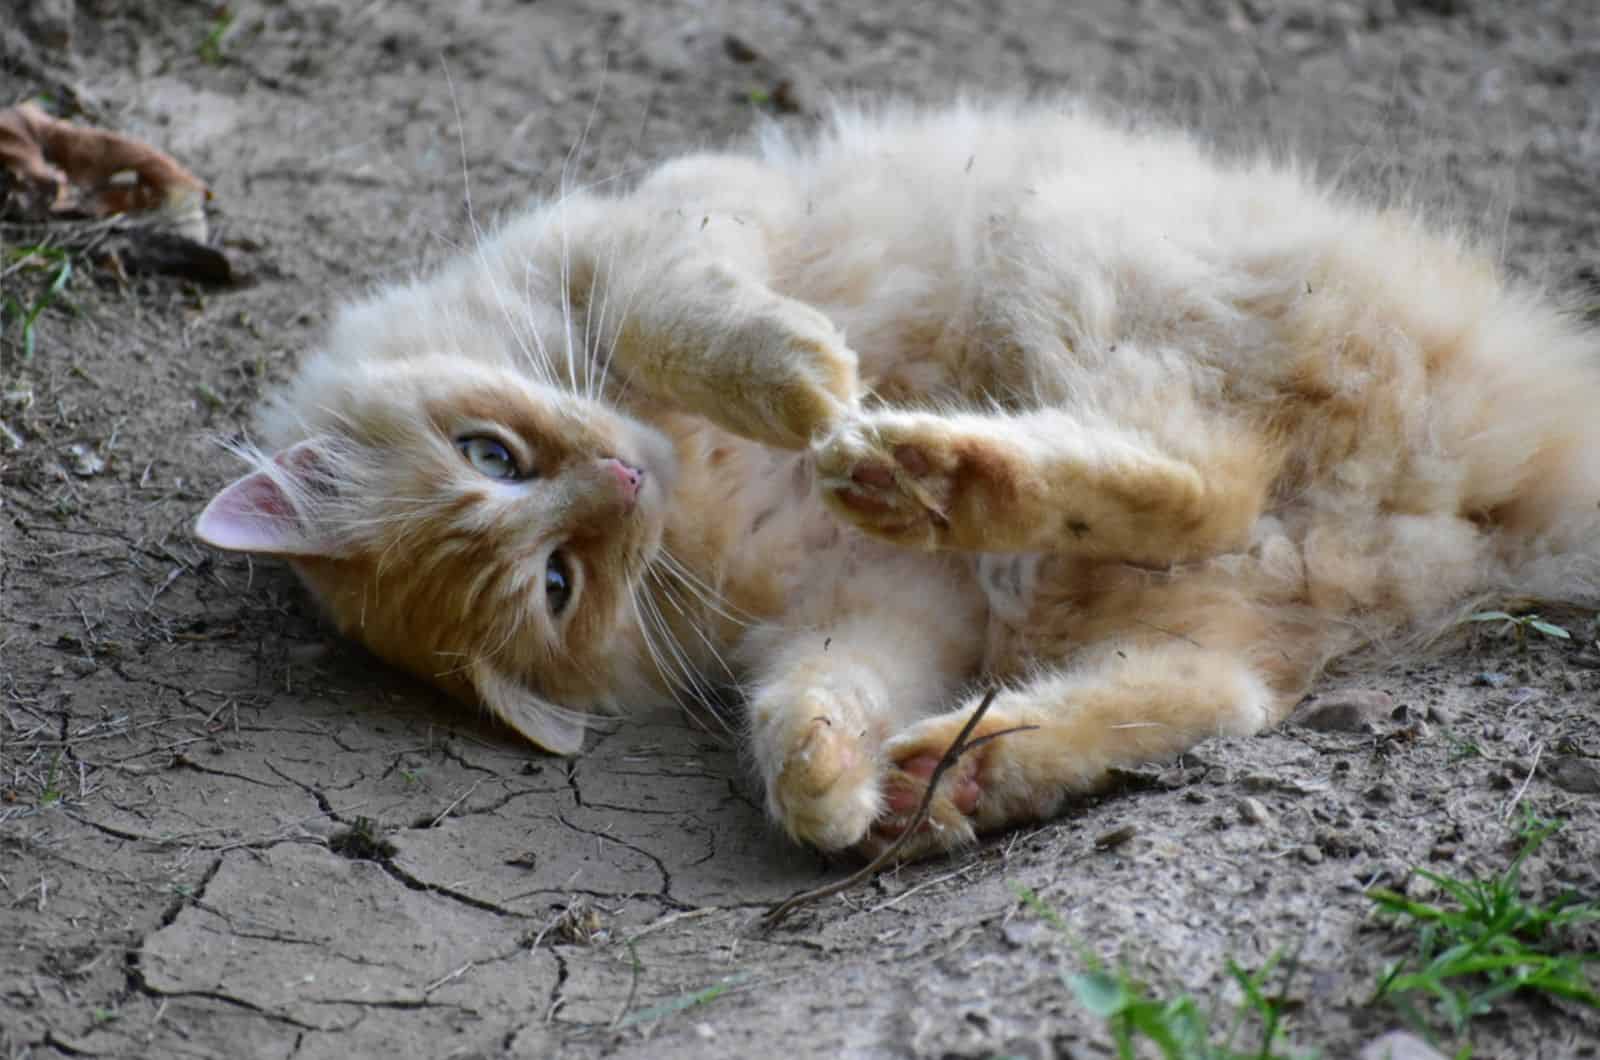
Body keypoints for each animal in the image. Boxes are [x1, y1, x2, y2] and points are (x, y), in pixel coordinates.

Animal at [193, 99, 1600, 864]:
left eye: (491, 454)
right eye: (559, 583)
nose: (619, 476)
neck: (697, 498)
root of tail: (1513, 489)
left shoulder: (666, 226)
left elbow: (681, 316)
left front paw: (805, 386)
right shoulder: (874, 609)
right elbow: (811, 699)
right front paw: (826, 788)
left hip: (1075, 254)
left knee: (1207, 479)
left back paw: (909, 461)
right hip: (1179, 581)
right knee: (1215, 652)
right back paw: (947, 761)